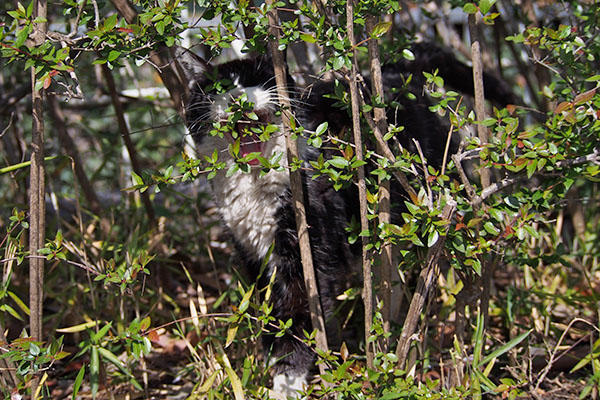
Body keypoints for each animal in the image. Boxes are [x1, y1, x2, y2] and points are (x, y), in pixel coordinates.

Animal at [179, 43, 516, 396]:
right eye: (218, 89)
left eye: (257, 79)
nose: (237, 98)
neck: (256, 183)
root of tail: (392, 73)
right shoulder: (253, 256)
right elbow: (271, 313)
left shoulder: (305, 252)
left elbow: (300, 316)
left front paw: (287, 381)